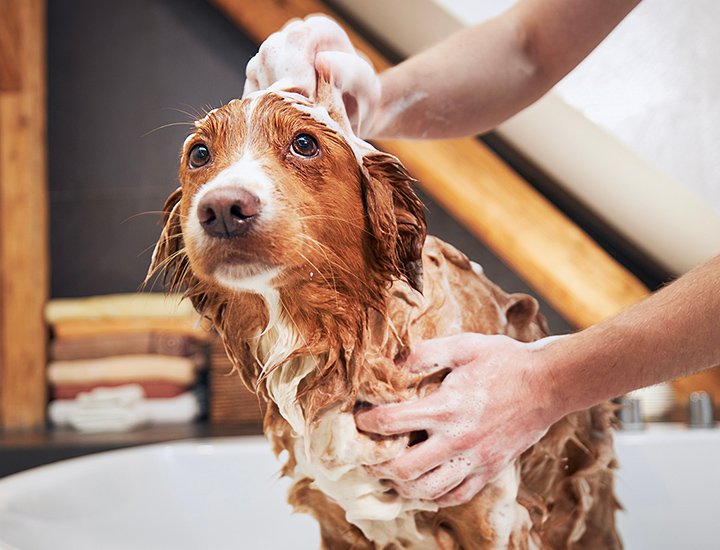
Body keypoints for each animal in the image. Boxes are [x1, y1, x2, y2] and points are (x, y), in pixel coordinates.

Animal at [146, 80, 620, 548]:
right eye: (199, 154)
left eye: (304, 143)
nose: (223, 209)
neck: (339, 343)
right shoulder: (335, 525)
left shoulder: (487, 516)